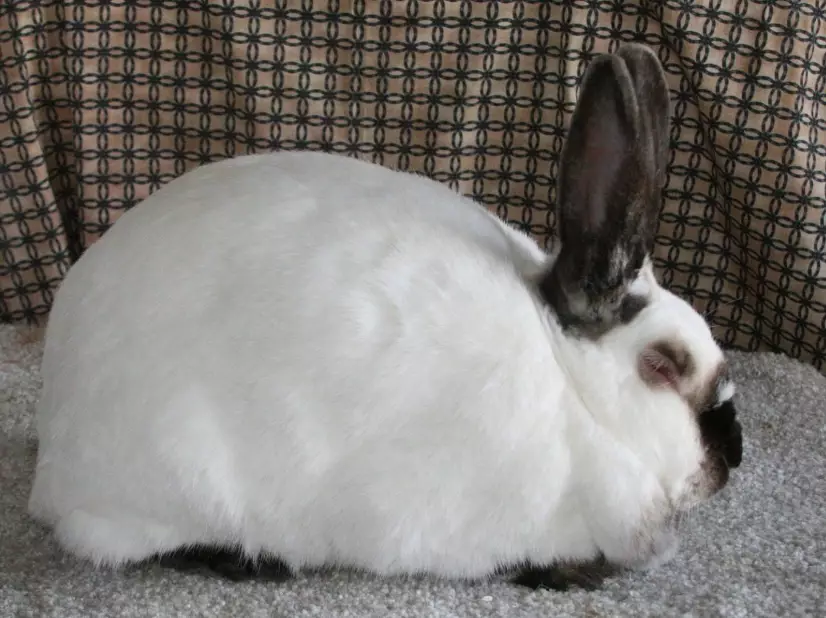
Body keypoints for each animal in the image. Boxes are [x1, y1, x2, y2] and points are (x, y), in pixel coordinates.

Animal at [27, 42, 742, 591]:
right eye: (662, 366)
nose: (733, 453)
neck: (575, 393)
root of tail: (51, 466)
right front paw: (570, 576)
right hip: (178, 477)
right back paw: (252, 564)